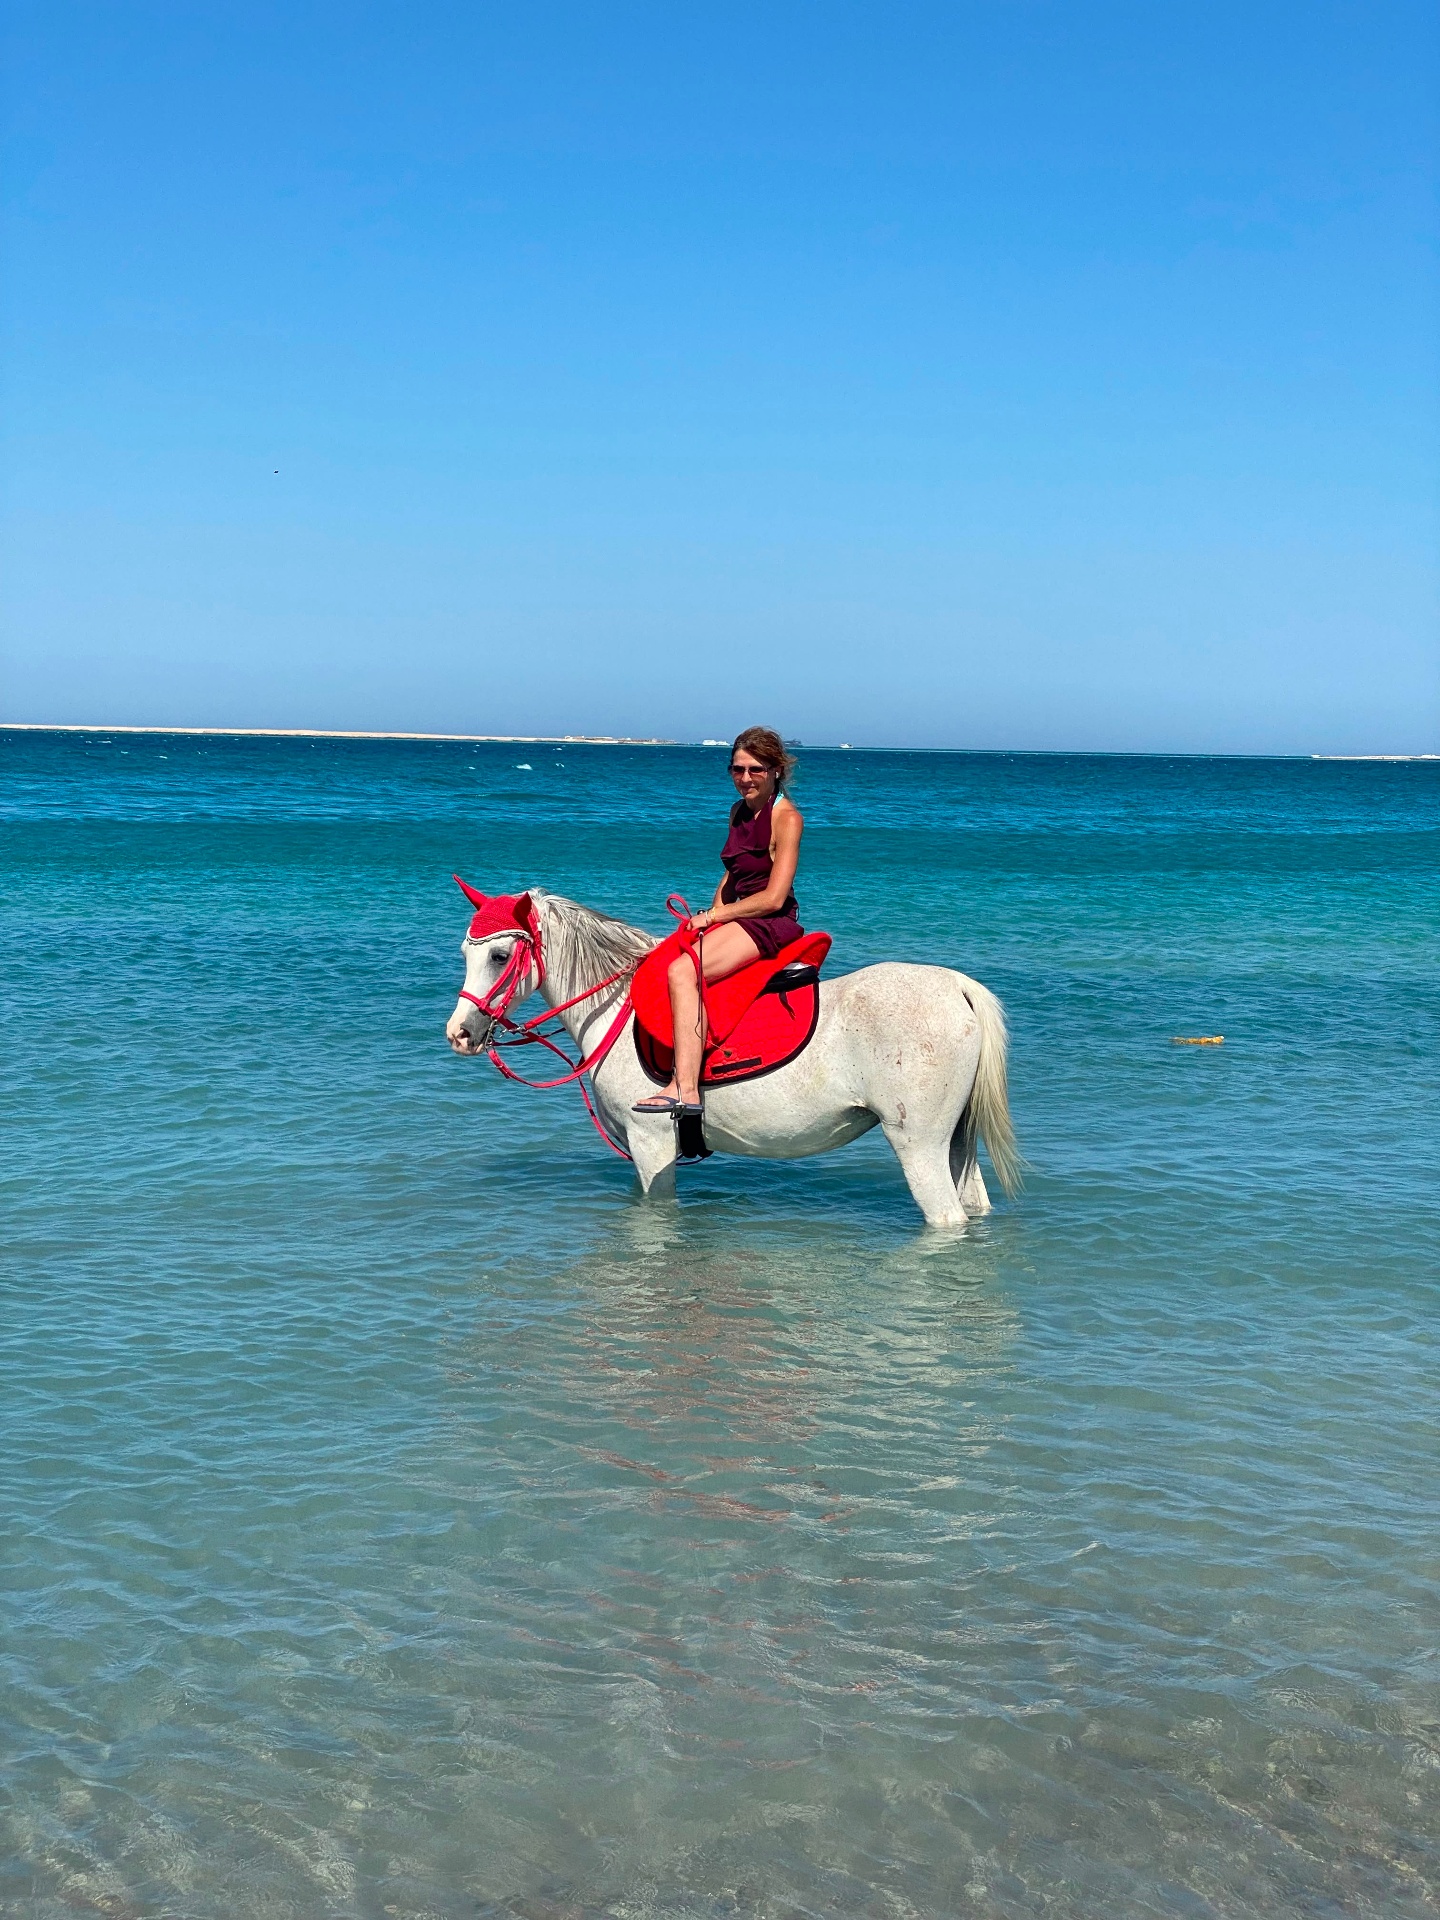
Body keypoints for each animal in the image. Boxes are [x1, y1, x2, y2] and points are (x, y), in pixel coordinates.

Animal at [445, 888, 1020, 1228]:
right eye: (466, 952)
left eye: (500, 954)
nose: (460, 1034)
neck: (618, 1007)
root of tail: (958, 988)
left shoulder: (652, 1144)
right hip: (955, 1142)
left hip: (918, 1145)